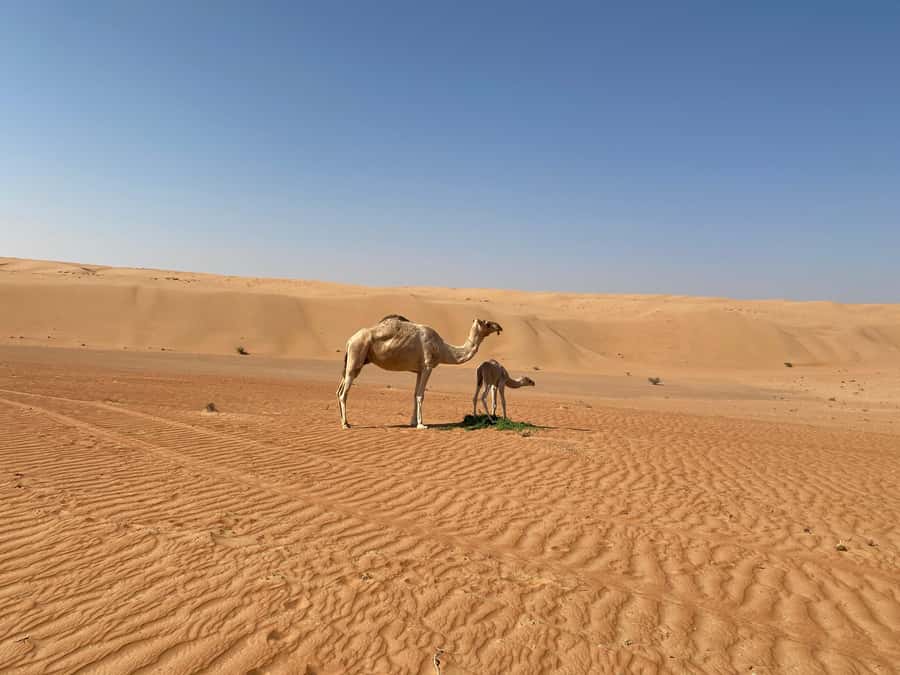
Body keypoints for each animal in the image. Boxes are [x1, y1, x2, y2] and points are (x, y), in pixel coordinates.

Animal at [337, 315, 503, 429]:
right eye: (487, 323)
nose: (499, 326)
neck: (442, 349)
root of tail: (349, 340)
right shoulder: (428, 367)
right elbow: (420, 395)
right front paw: (421, 424)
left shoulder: (419, 370)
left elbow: (414, 394)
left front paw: (412, 422)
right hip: (356, 355)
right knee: (344, 392)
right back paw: (345, 424)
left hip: (353, 361)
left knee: (339, 389)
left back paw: (343, 420)